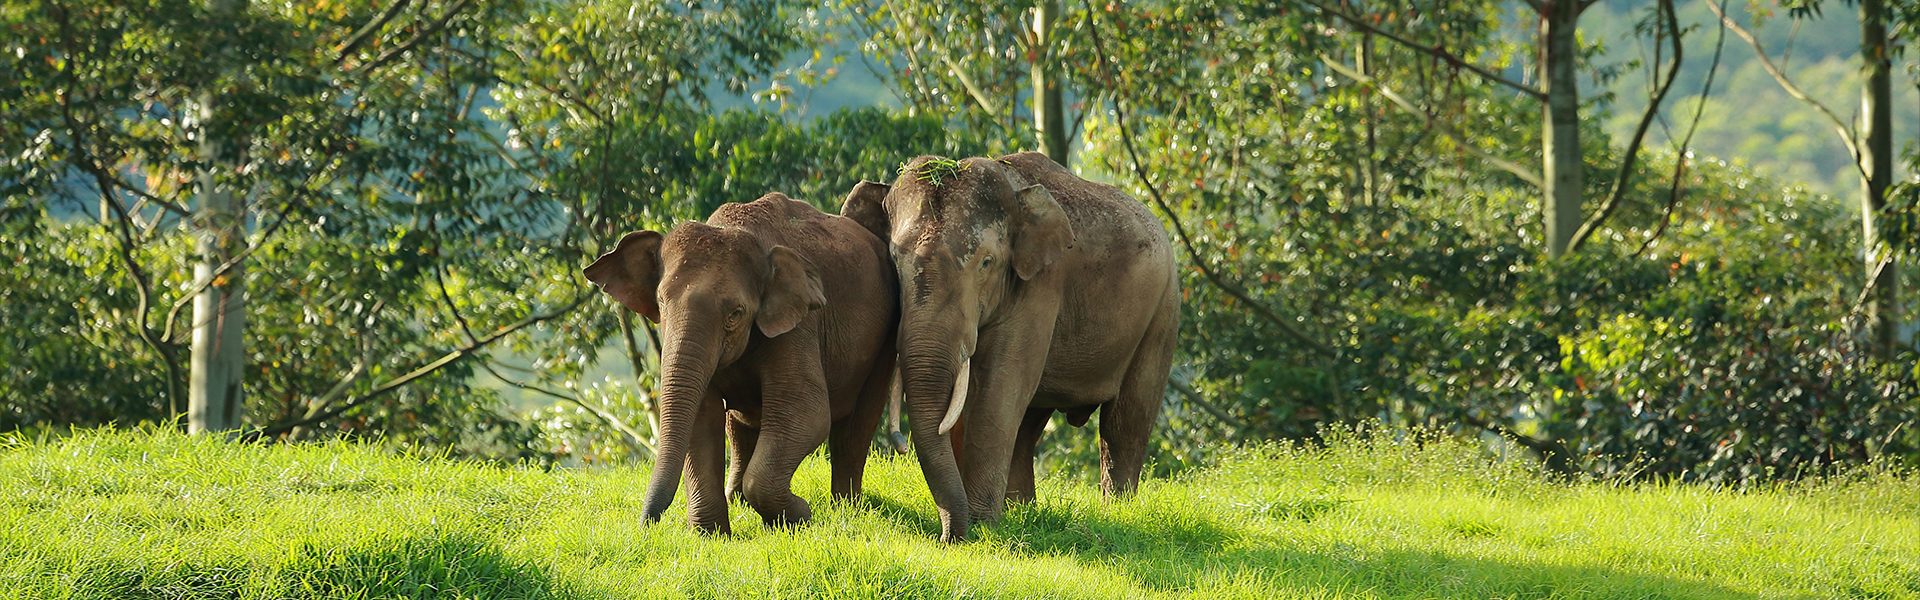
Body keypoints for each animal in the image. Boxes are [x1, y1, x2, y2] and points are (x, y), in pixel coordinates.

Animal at [583, 192, 898, 534]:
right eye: (662, 303)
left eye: (735, 314)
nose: (646, 526)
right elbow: (701, 416)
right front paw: (712, 535)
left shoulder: (799, 325)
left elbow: (807, 412)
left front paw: (799, 516)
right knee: (742, 426)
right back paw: (739, 501)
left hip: (885, 340)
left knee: (856, 425)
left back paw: (847, 507)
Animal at [840, 151, 1178, 542]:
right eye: (894, 258)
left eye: (986, 263)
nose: (945, 538)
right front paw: (984, 519)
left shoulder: (1041, 285)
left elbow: (997, 392)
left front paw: (981, 523)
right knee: (1030, 423)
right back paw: (1022, 509)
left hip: (1162, 313)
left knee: (1127, 420)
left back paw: (1117, 512)